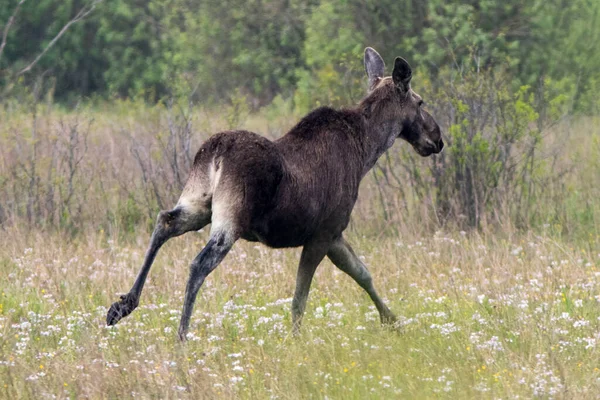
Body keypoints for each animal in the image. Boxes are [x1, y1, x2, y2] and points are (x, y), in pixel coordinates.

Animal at [108, 47, 442, 340]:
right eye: (420, 102)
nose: (437, 138)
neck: (366, 151)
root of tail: (216, 152)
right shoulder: (324, 233)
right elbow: (301, 297)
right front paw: (295, 339)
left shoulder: (333, 235)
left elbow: (362, 273)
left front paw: (393, 322)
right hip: (231, 218)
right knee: (199, 262)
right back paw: (181, 335)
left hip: (197, 203)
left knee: (164, 221)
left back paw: (123, 305)